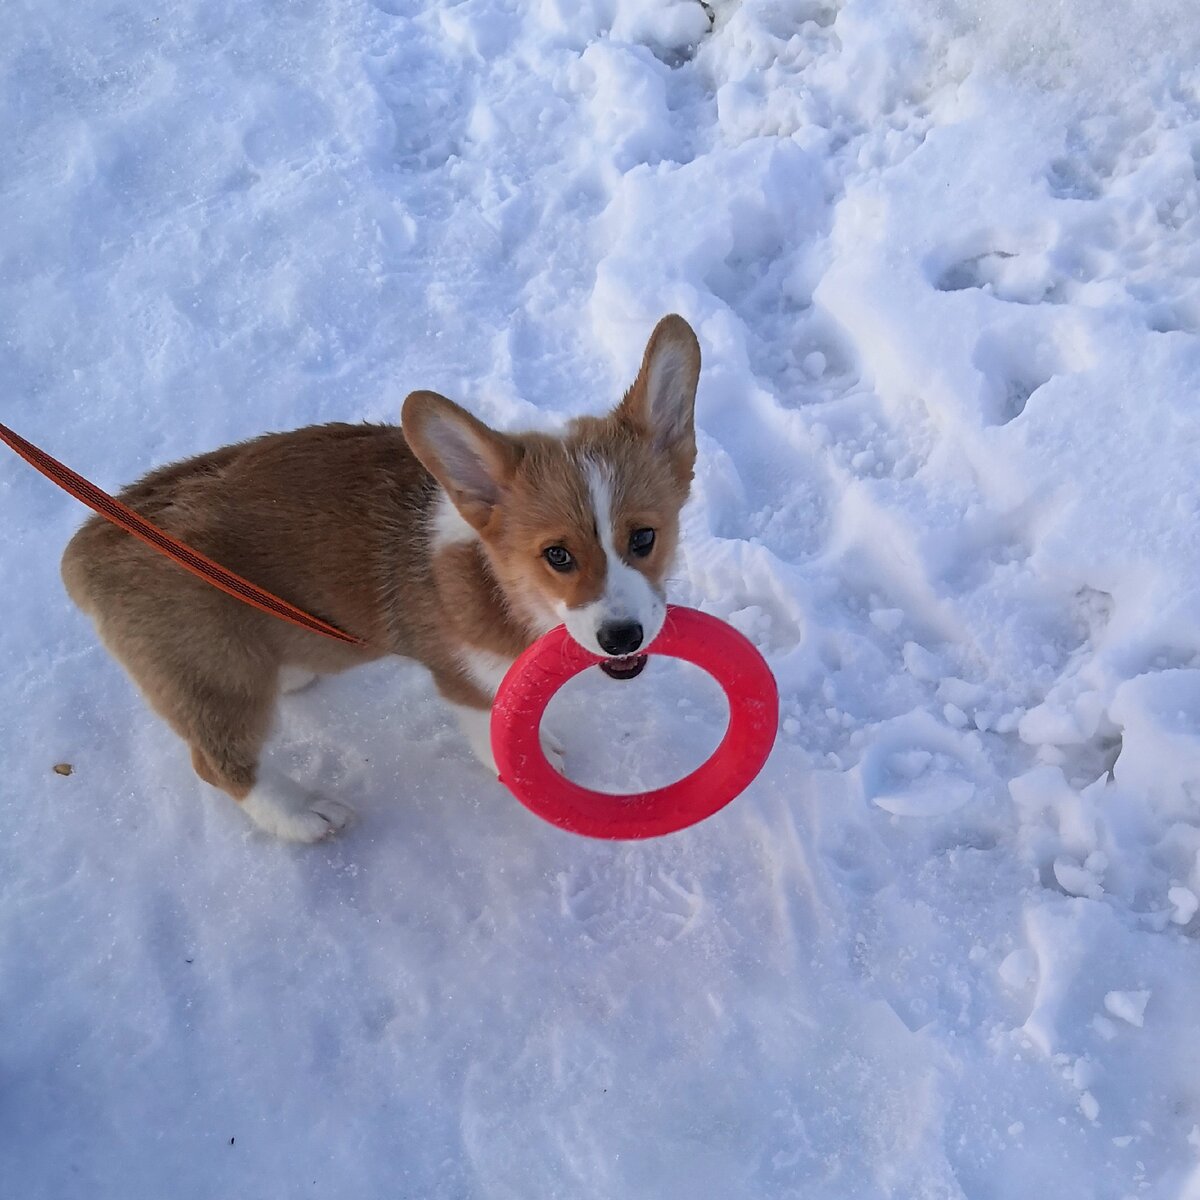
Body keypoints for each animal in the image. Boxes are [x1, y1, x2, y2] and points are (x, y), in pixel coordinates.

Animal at [63, 314, 700, 840]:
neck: (500, 583)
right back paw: (302, 816)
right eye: (558, 556)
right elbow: (492, 728)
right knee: (218, 762)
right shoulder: (463, 680)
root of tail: (85, 547)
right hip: (218, 676)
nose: (622, 638)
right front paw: (529, 758)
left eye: (644, 538)